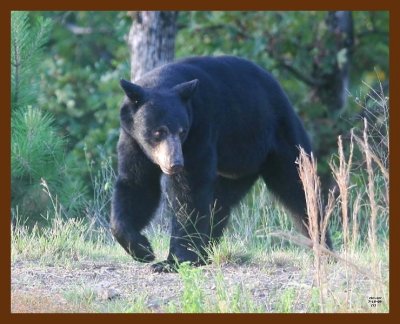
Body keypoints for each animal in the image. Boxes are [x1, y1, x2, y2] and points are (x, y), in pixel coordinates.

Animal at [110, 56, 332, 274]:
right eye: (158, 131)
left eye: (182, 131)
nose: (176, 163)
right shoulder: (132, 138)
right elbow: (136, 184)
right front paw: (142, 249)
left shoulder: (201, 129)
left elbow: (190, 189)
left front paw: (173, 260)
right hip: (237, 169)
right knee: (219, 203)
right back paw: (203, 253)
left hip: (281, 139)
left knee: (300, 191)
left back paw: (324, 249)